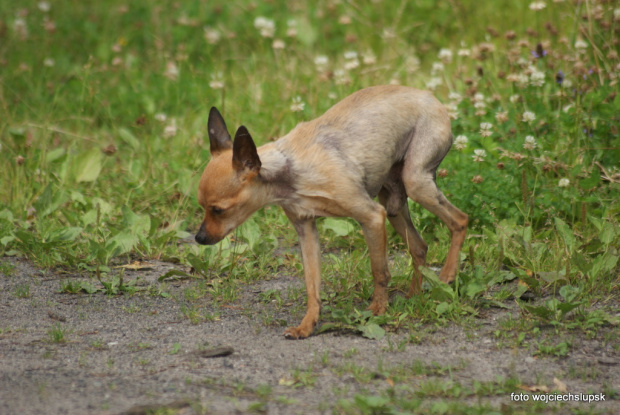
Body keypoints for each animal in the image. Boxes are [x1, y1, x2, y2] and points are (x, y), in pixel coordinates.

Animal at [196, 86, 468, 340]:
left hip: (415, 182)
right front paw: (307, 325)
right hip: (393, 203)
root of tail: (429, 95)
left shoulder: (371, 217)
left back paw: (447, 274)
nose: (199, 238)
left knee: (460, 220)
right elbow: (312, 285)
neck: (290, 172)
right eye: (202, 207)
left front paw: (378, 309)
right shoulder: (306, 232)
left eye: (218, 210)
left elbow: (379, 270)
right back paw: (414, 295)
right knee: (420, 247)